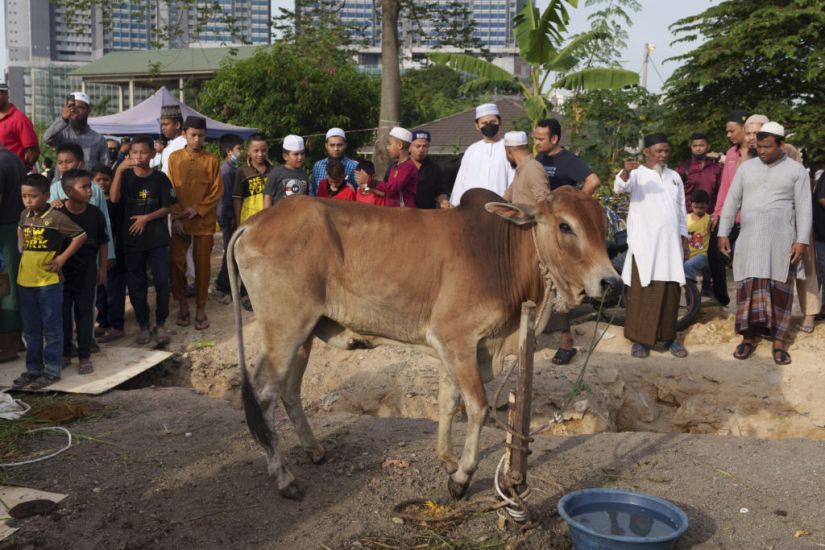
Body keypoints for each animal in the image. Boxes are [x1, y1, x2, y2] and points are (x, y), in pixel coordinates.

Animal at [227, 188, 616, 502]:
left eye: (602, 226)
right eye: (565, 226)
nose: (609, 282)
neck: (498, 253)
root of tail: (255, 222)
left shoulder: (455, 348)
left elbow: (449, 401)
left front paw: (447, 460)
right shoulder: (457, 339)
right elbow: (477, 407)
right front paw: (461, 477)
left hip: (303, 334)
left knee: (289, 390)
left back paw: (314, 450)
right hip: (285, 328)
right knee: (263, 397)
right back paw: (285, 479)